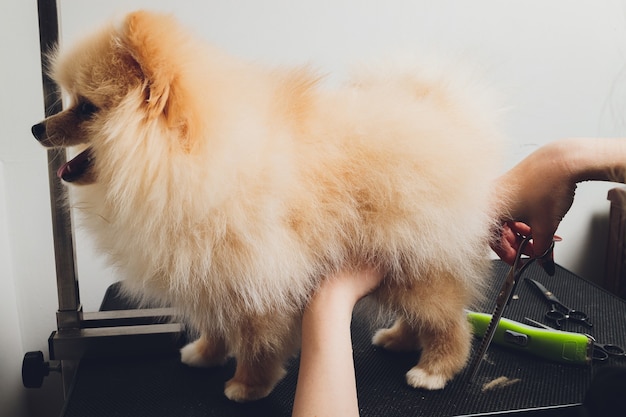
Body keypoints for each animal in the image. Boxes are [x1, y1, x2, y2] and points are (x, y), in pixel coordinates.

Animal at [31, 8, 504, 400]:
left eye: (86, 108)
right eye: (68, 101)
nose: (37, 127)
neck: (191, 165)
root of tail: (447, 117)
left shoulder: (257, 277)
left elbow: (257, 339)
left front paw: (247, 384)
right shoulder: (207, 272)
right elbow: (216, 324)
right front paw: (205, 353)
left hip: (416, 264)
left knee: (451, 322)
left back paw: (434, 370)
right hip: (403, 267)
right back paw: (398, 338)